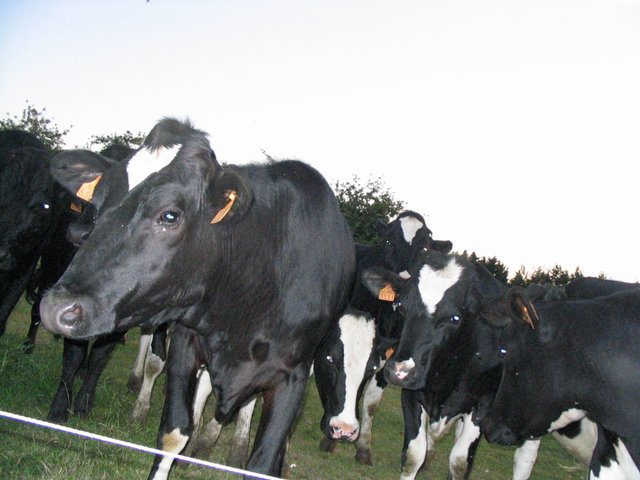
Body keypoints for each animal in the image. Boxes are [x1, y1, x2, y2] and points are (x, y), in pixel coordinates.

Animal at [40, 117, 355, 478]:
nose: (55, 308)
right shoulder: (186, 342)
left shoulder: (292, 375)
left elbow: (262, 461)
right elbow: (173, 432)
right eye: (98, 204)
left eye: (169, 215)